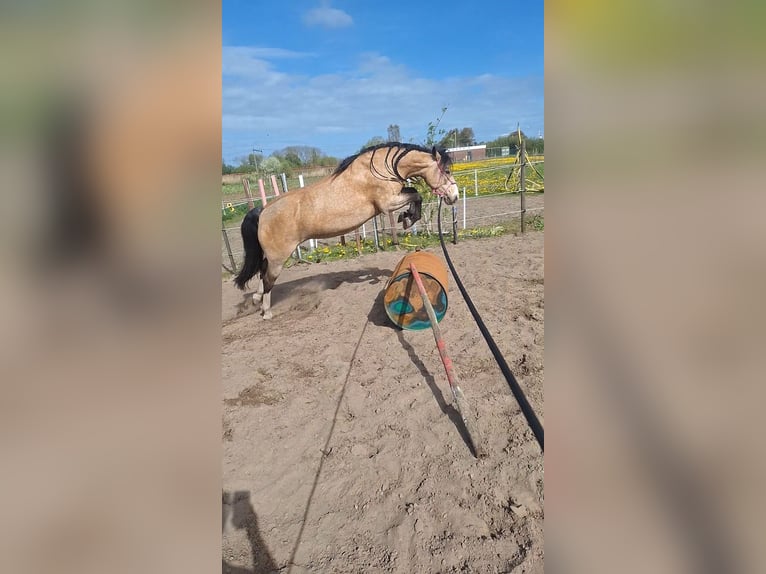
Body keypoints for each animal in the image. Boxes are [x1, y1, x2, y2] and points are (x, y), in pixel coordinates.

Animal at [233, 142, 459, 319]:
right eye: (447, 171)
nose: (454, 196)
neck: (380, 169)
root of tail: (264, 211)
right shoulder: (387, 204)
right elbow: (417, 194)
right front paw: (407, 218)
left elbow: (413, 191)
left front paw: (407, 217)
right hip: (278, 258)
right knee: (267, 279)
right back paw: (266, 312)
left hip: (272, 257)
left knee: (262, 272)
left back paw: (256, 300)